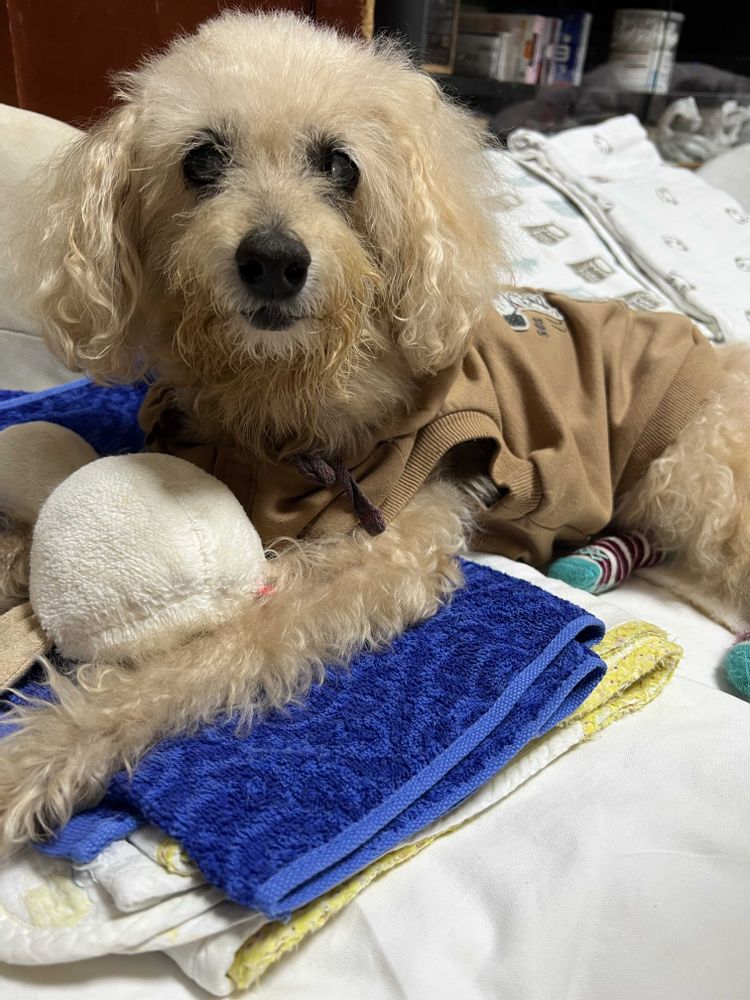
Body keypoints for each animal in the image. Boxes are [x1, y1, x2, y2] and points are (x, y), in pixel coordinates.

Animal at [1, 11, 749, 854]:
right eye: (201, 160)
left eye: (340, 164)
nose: (273, 259)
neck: (282, 388)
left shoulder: (385, 548)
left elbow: (225, 642)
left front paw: (45, 751)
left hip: (692, 473)